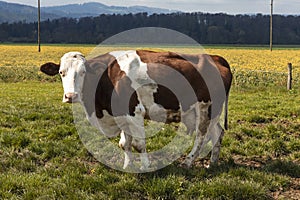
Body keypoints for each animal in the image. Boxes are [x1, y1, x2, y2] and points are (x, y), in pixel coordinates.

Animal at [40, 50, 232, 170]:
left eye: (83, 72)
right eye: (61, 72)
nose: (70, 96)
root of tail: (215, 57)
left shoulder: (135, 112)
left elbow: (139, 143)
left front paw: (144, 166)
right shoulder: (121, 114)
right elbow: (125, 143)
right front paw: (127, 165)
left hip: (206, 108)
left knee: (201, 136)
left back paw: (188, 162)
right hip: (211, 113)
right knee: (217, 133)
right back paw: (212, 163)